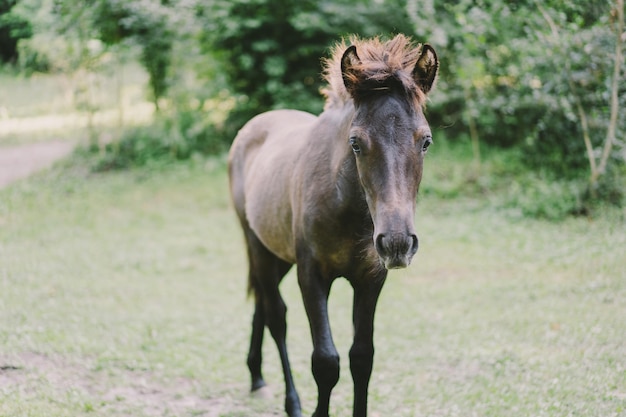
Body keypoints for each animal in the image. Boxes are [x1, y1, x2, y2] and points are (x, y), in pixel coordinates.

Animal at [227, 35, 436, 416]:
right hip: (258, 246)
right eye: (356, 142)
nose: (397, 242)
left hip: (279, 255)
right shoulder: (311, 275)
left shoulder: (371, 278)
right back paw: (290, 401)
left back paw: (257, 378)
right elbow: (325, 362)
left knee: (261, 306)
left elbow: (362, 359)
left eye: (425, 141)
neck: (347, 208)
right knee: (276, 316)